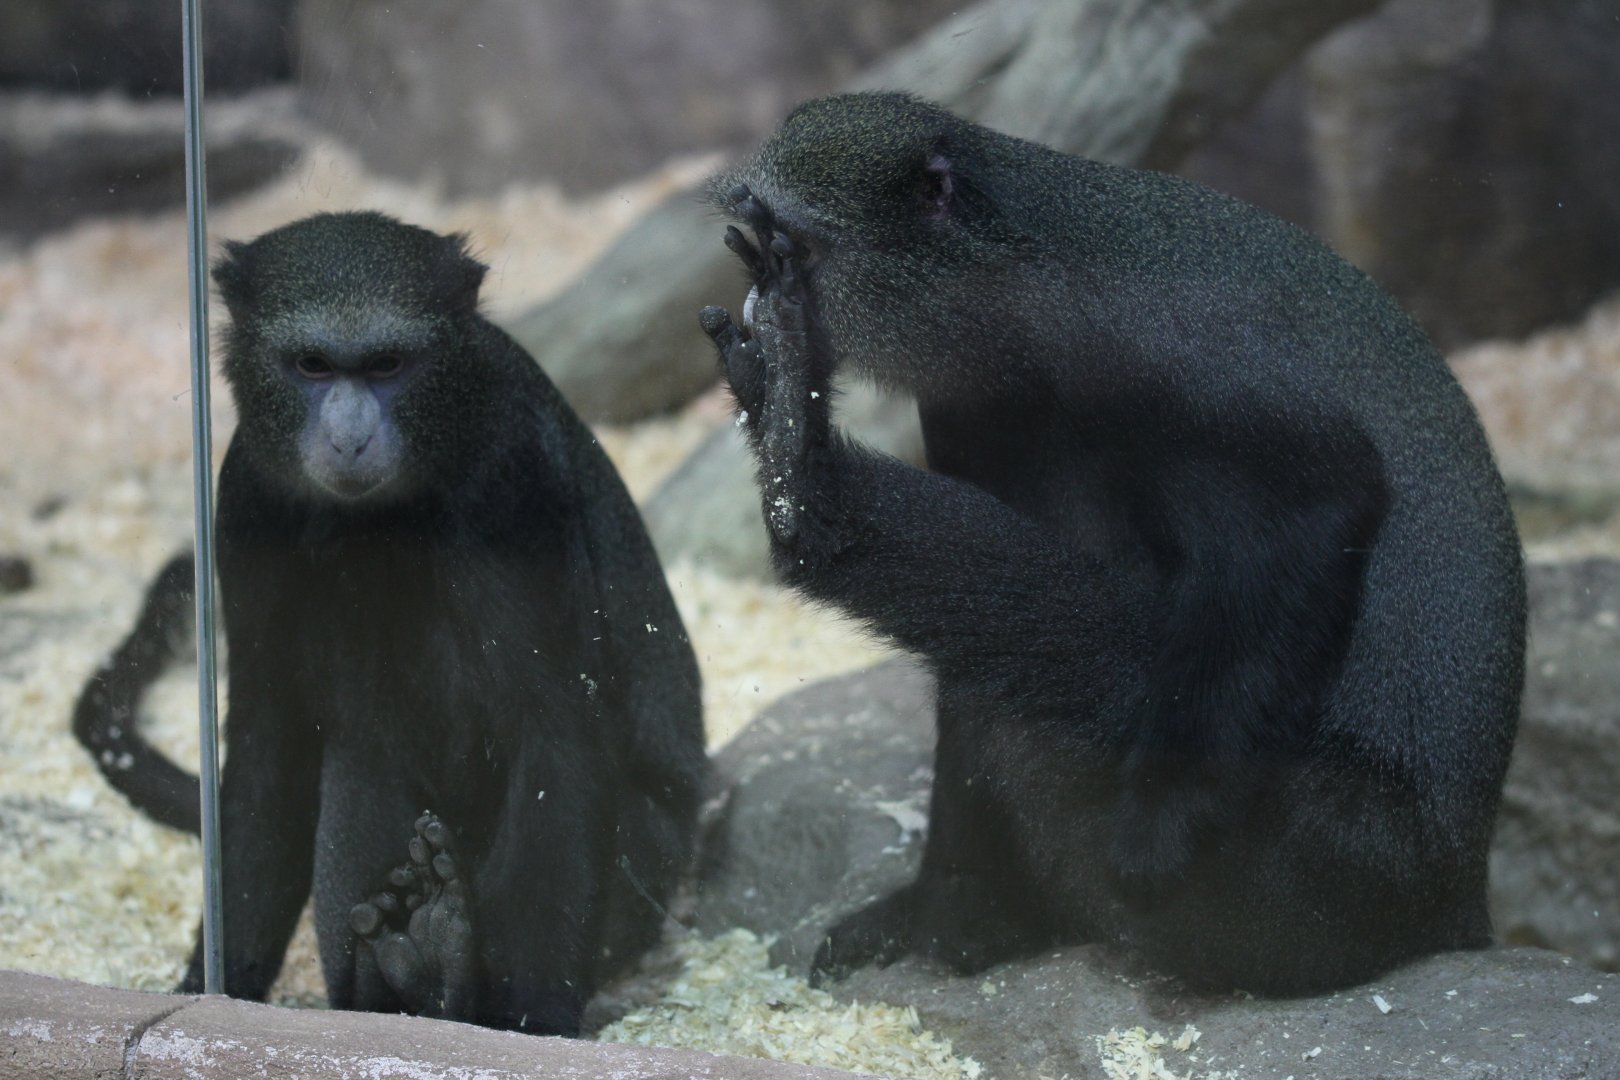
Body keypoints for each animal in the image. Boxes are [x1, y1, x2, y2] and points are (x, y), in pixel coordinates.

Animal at [74, 211, 706, 1034]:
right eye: (312, 366)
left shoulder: (516, 477)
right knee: (360, 752)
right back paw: (406, 978)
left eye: (387, 365)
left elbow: (557, 731)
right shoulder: (244, 501)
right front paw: (206, 990)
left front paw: (533, 1024)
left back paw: (449, 974)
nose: (348, 436)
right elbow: (270, 743)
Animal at [698, 92, 1525, 996]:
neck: (1012, 281)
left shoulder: (1154, 335)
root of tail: (1454, 900)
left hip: (1327, 866)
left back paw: (812, 487)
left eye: (788, 251)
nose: (757, 308)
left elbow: (1316, 500)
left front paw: (1160, 827)